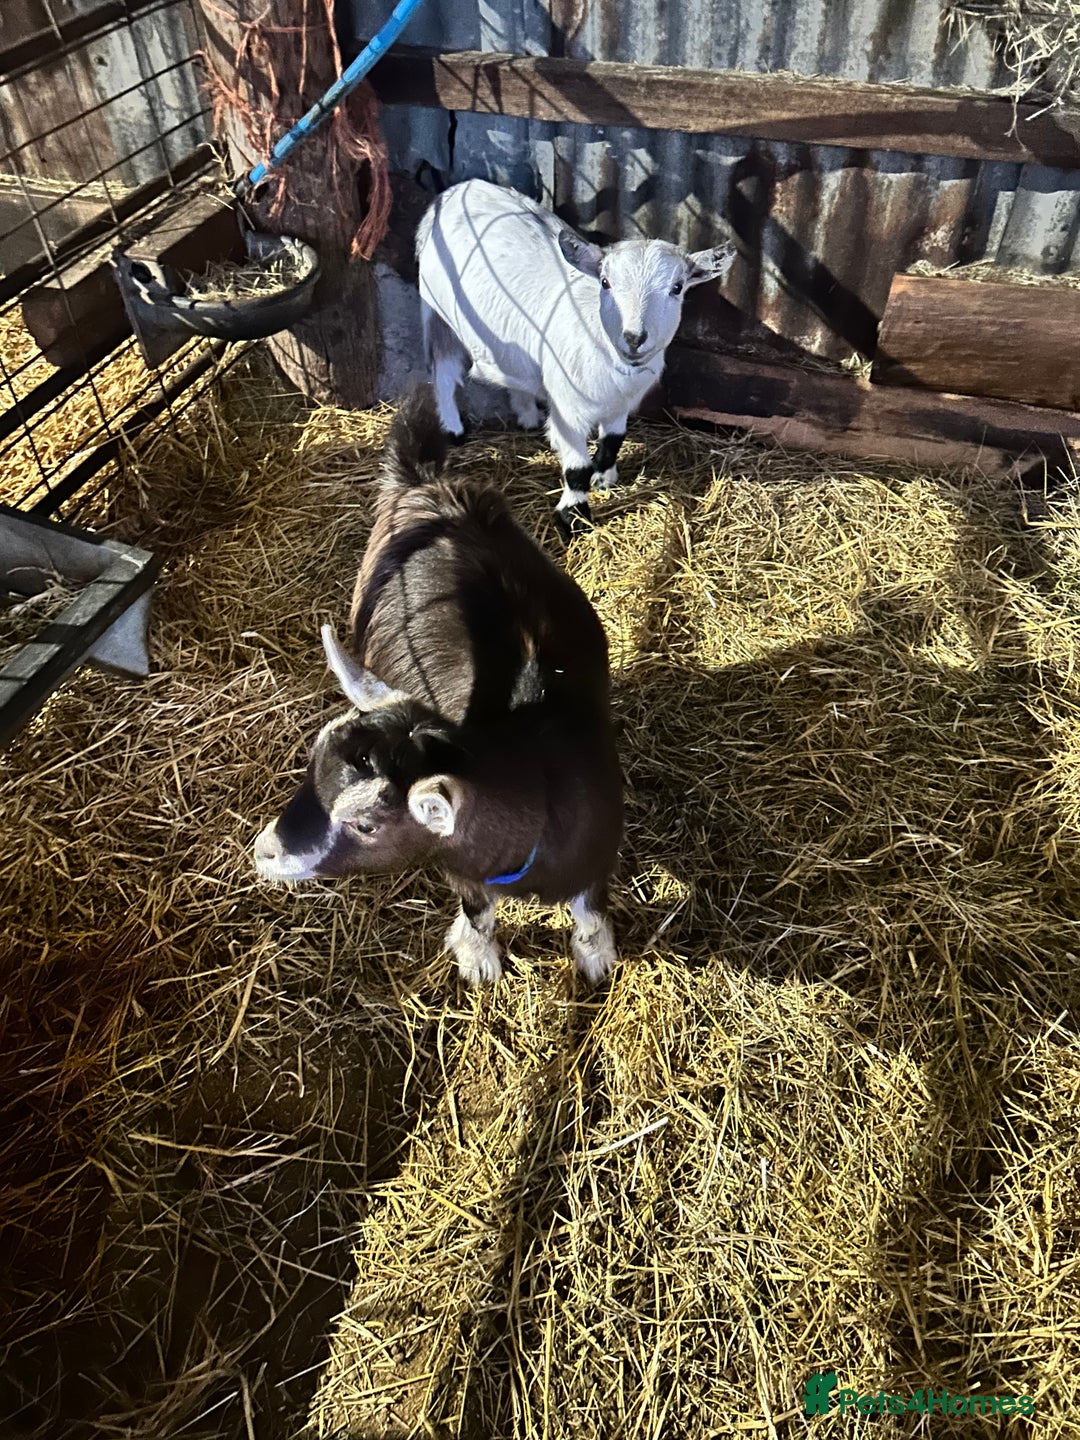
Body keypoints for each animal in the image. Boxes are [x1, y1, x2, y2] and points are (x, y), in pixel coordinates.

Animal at [253, 385, 624, 985]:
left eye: (365, 825)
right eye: (311, 763)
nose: (264, 852)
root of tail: (424, 482)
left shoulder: (596, 856)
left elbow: (589, 910)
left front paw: (595, 957)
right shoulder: (461, 869)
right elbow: (479, 911)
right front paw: (477, 957)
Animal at [416, 178, 734, 536]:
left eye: (677, 287)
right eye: (606, 282)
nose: (634, 338)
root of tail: (457, 190)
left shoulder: (621, 402)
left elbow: (613, 440)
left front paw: (604, 479)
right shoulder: (570, 408)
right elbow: (576, 467)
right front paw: (575, 516)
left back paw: (527, 416)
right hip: (437, 313)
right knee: (444, 372)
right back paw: (453, 429)